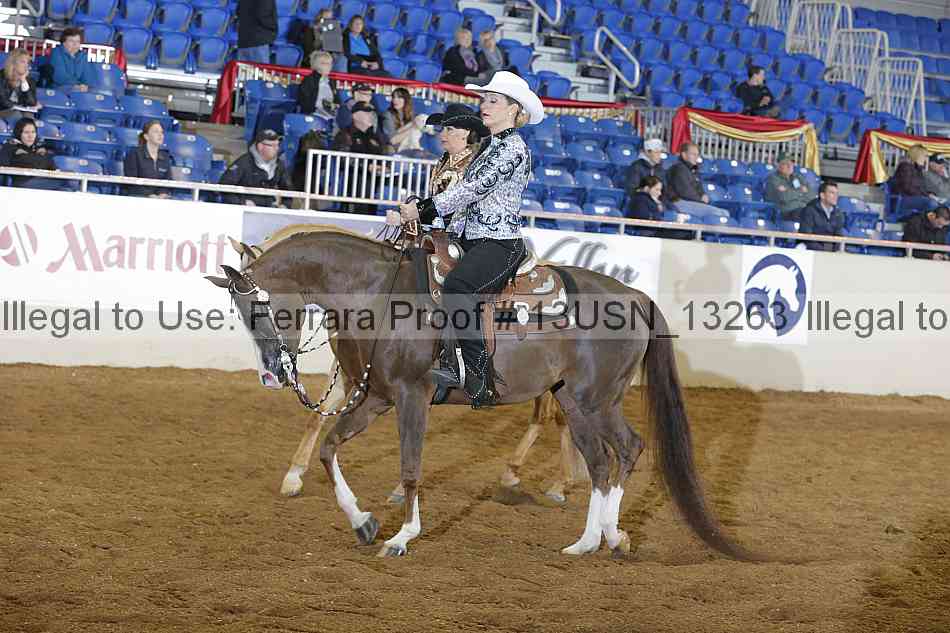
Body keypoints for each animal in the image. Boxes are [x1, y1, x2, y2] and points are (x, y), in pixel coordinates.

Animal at [231, 226, 588, 504]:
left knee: (556, 418)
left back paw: (555, 481)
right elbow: (318, 417)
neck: (371, 291)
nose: (270, 375)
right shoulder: (356, 376)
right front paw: (293, 476)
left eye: (258, 310)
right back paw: (547, 477)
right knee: (555, 418)